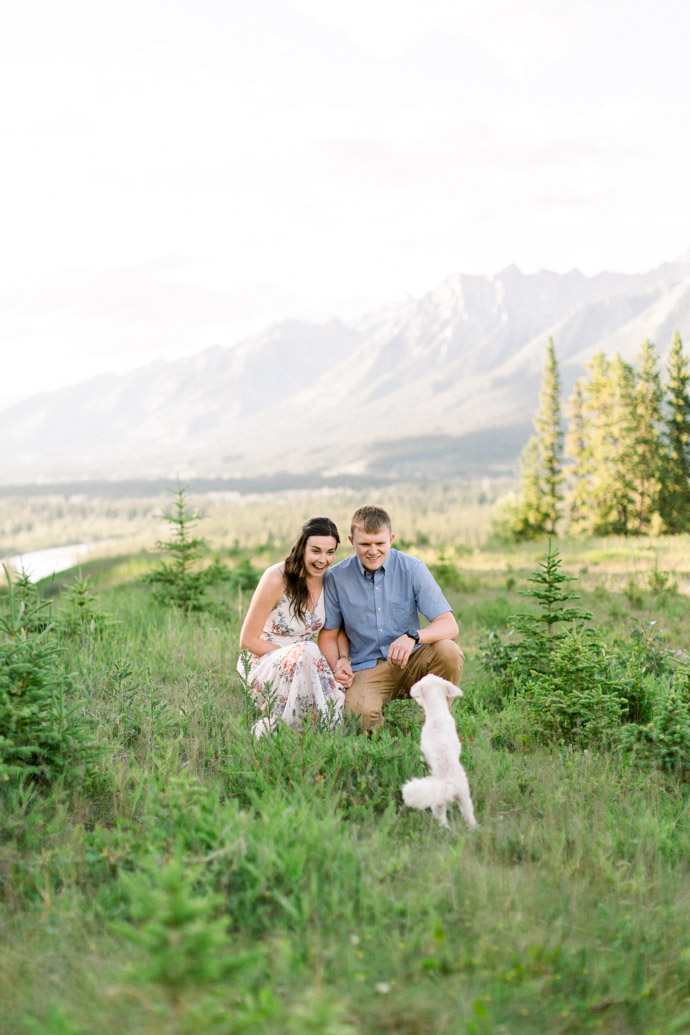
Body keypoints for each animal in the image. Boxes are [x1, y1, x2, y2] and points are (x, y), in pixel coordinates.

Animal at [401, 670, 477, 832]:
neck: (436, 713)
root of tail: (449, 785)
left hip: (438, 803)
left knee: (442, 820)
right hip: (464, 797)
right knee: (468, 816)